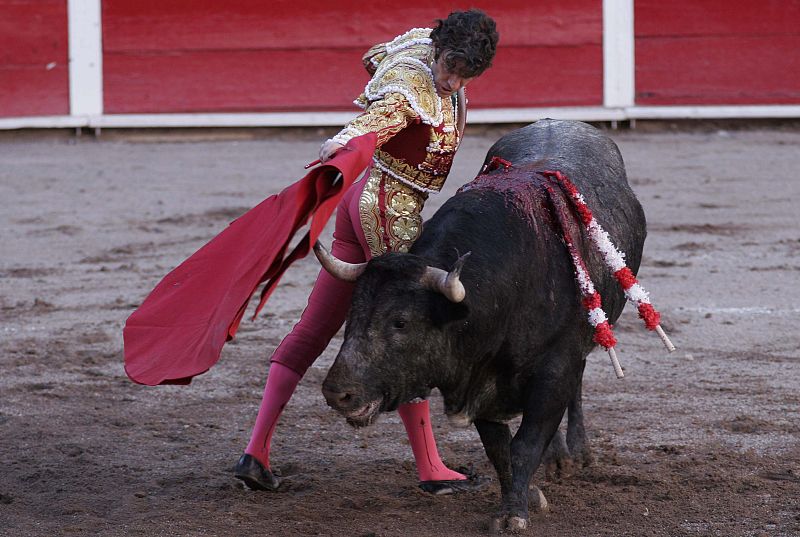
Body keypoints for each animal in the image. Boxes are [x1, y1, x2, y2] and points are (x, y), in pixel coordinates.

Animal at [318, 119, 644, 528]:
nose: (337, 393)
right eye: (352, 313)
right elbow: (501, 451)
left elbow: (525, 444)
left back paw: (576, 455)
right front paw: (521, 498)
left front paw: (515, 514)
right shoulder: (479, 378)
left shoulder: (555, 367)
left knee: (577, 385)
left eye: (401, 323)